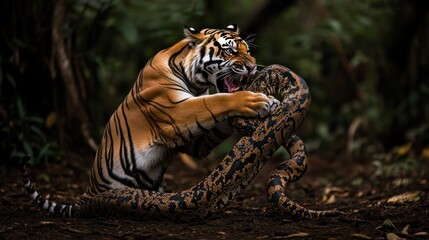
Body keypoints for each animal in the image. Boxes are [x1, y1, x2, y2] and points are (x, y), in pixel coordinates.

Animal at [21, 24, 280, 218]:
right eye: (230, 52)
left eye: (248, 50)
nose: (252, 66)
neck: (195, 82)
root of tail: (85, 195)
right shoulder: (176, 113)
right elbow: (215, 102)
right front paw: (257, 100)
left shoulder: (193, 142)